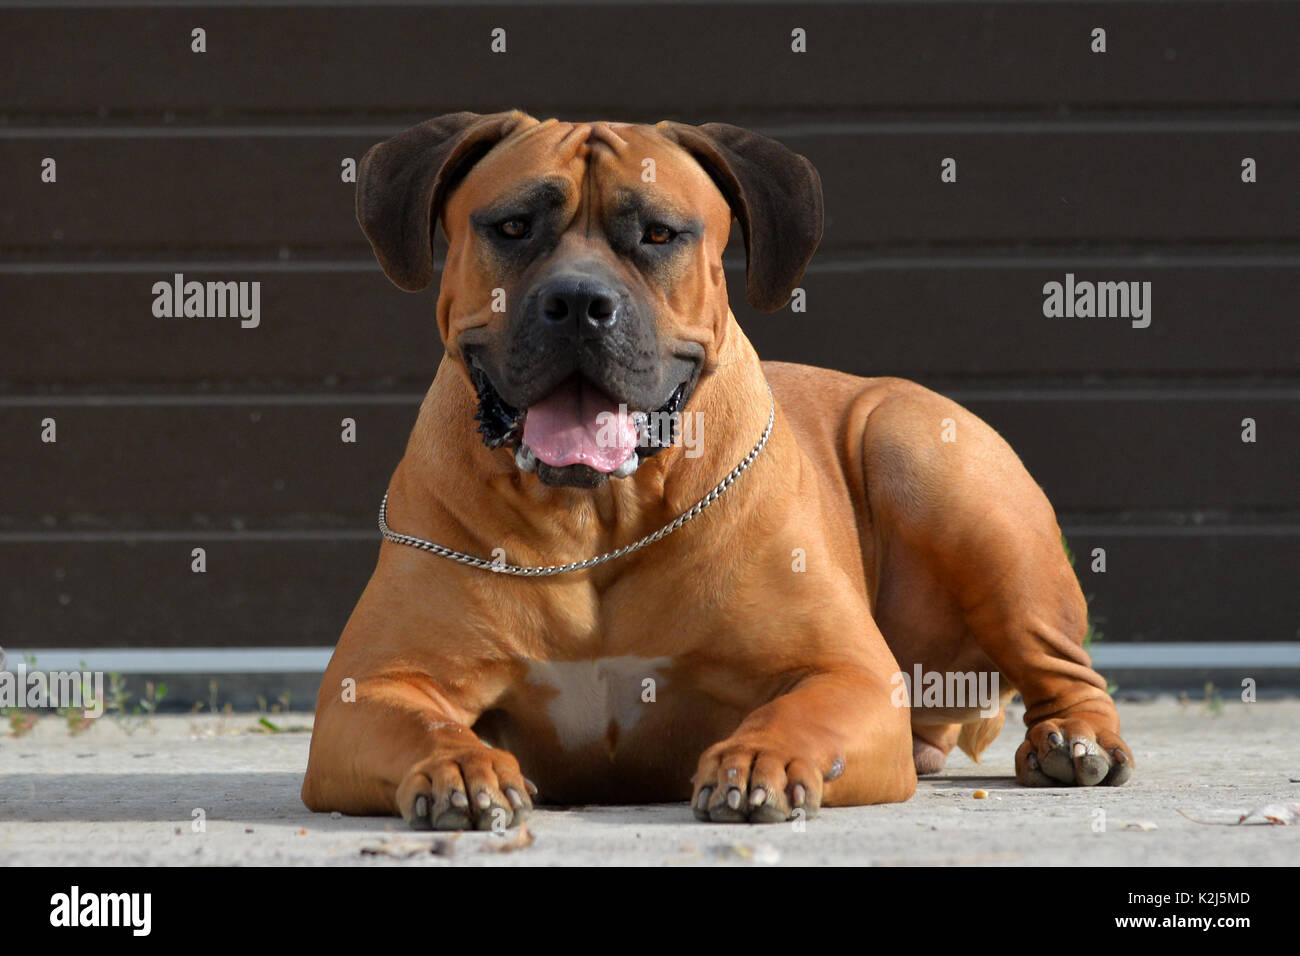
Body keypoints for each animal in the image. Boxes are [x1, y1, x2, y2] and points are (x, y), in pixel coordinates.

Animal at [301, 110, 1128, 832]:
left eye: (659, 234)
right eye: (512, 227)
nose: (577, 300)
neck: (597, 518)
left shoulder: (849, 671)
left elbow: (797, 709)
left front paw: (761, 759)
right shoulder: (369, 689)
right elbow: (427, 728)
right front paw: (461, 767)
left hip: (934, 466)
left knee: (1065, 668)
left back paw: (1072, 742)